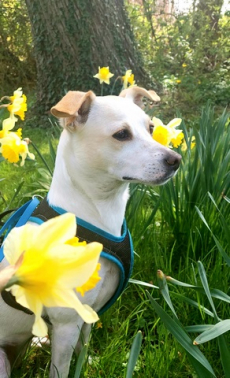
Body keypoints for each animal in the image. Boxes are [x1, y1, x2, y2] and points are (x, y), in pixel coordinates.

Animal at [0, 87, 181, 376]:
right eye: (121, 134)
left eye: (151, 128)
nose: (176, 160)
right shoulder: (66, 326)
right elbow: (61, 369)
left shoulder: (87, 315)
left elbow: (82, 351)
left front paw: (87, 364)